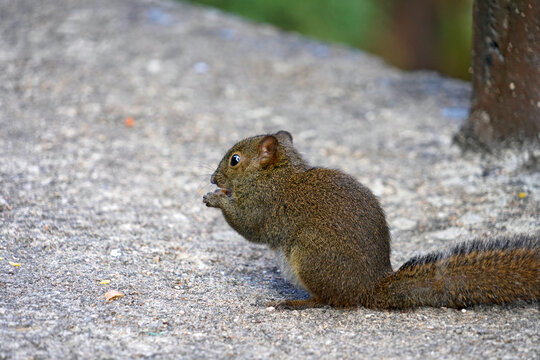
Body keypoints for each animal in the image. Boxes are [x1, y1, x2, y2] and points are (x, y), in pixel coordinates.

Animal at [202, 131, 540, 308]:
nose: (212, 178)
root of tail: (369, 289)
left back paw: (296, 303)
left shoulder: (264, 205)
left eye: (235, 160)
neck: (275, 174)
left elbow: (248, 226)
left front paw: (215, 199)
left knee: (329, 299)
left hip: (311, 255)